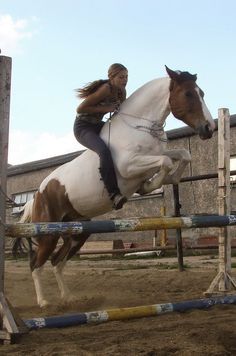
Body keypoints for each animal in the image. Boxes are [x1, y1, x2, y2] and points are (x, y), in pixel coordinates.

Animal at [18, 66, 216, 306]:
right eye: (188, 94)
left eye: (202, 93)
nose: (209, 128)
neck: (141, 126)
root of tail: (37, 194)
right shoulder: (130, 165)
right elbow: (165, 162)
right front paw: (150, 185)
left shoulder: (156, 155)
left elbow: (183, 155)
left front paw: (166, 180)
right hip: (48, 232)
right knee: (36, 264)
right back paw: (44, 302)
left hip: (77, 233)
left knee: (57, 261)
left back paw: (68, 298)